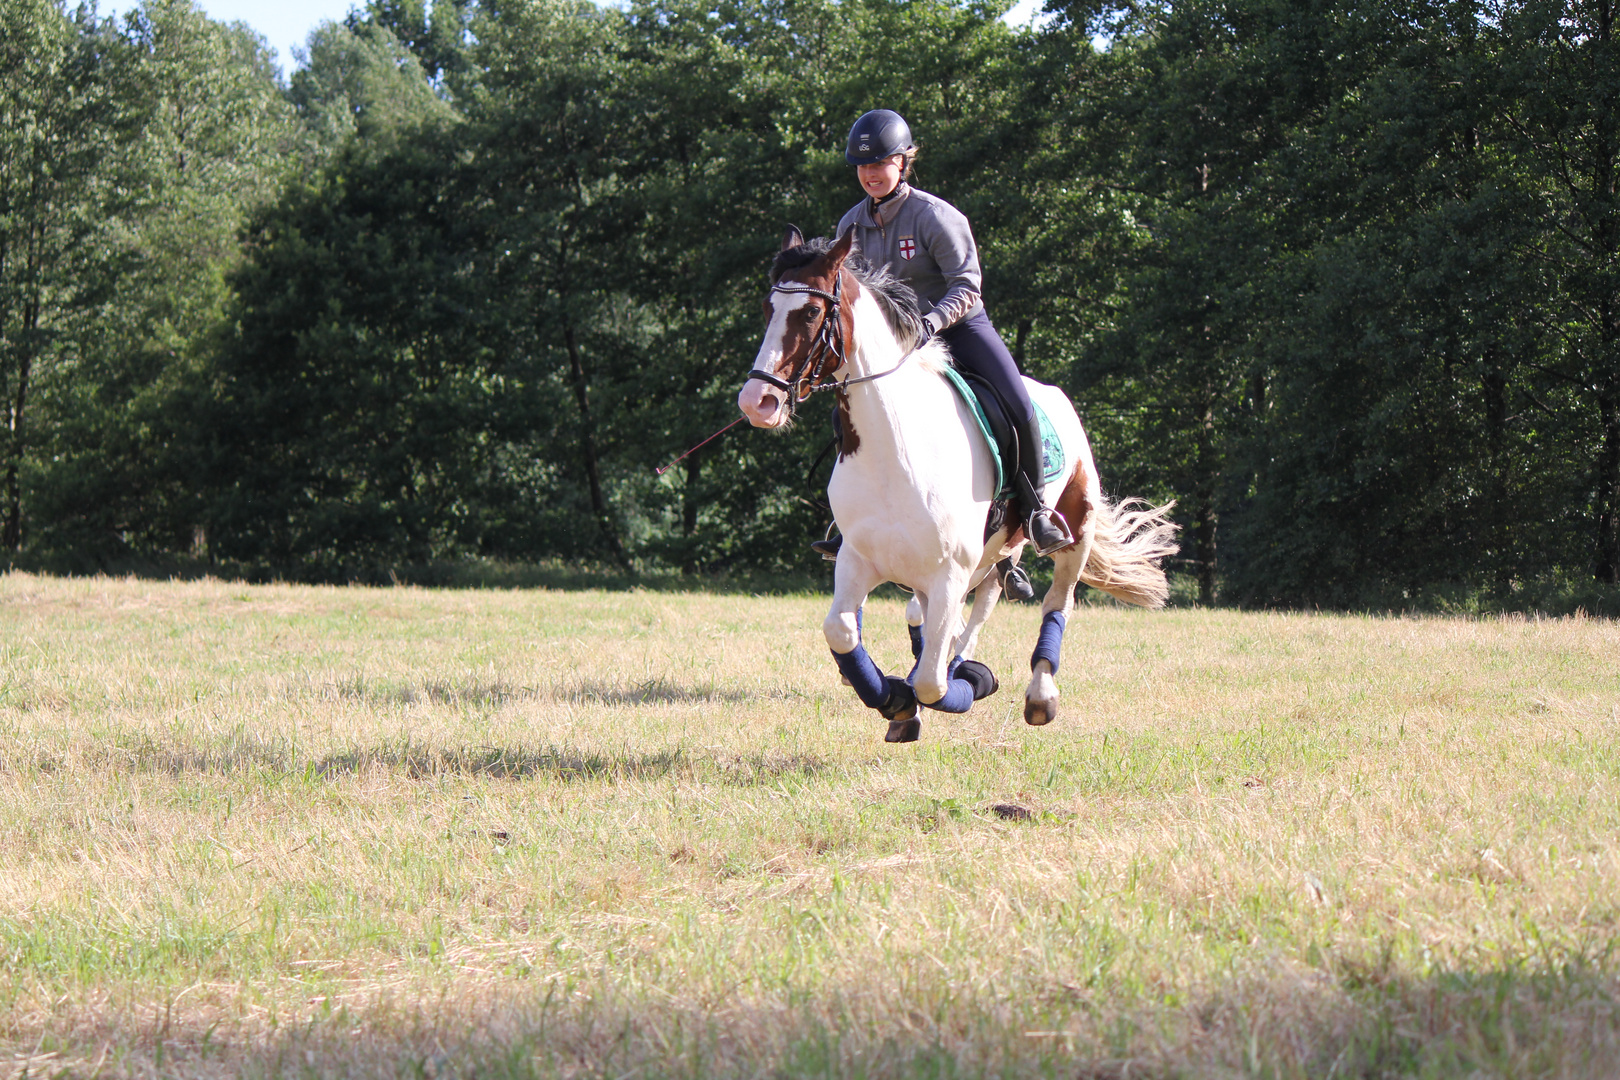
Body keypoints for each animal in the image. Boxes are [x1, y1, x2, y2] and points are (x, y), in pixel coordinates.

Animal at [738, 228, 1179, 744]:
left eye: (809, 312)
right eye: (768, 308)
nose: (757, 401)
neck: (897, 445)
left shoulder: (949, 571)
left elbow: (932, 681)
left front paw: (959, 685)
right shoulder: (858, 559)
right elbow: (844, 633)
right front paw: (894, 699)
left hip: (1074, 529)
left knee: (1056, 603)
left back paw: (1038, 694)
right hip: (990, 554)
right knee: (971, 608)